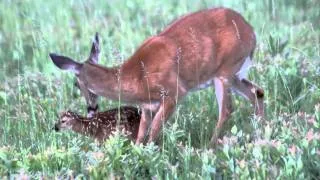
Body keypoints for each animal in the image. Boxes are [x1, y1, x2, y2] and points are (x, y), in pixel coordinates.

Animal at [50, 7, 264, 146]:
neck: (135, 77)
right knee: (257, 91)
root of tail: (251, 32)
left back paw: (210, 146)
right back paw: (261, 132)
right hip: (232, 73)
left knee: (227, 108)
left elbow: (153, 131)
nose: (91, 109)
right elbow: (141, 134)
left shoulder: (174, 92)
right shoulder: (146, 107)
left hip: (224, 72)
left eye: (76, 84)